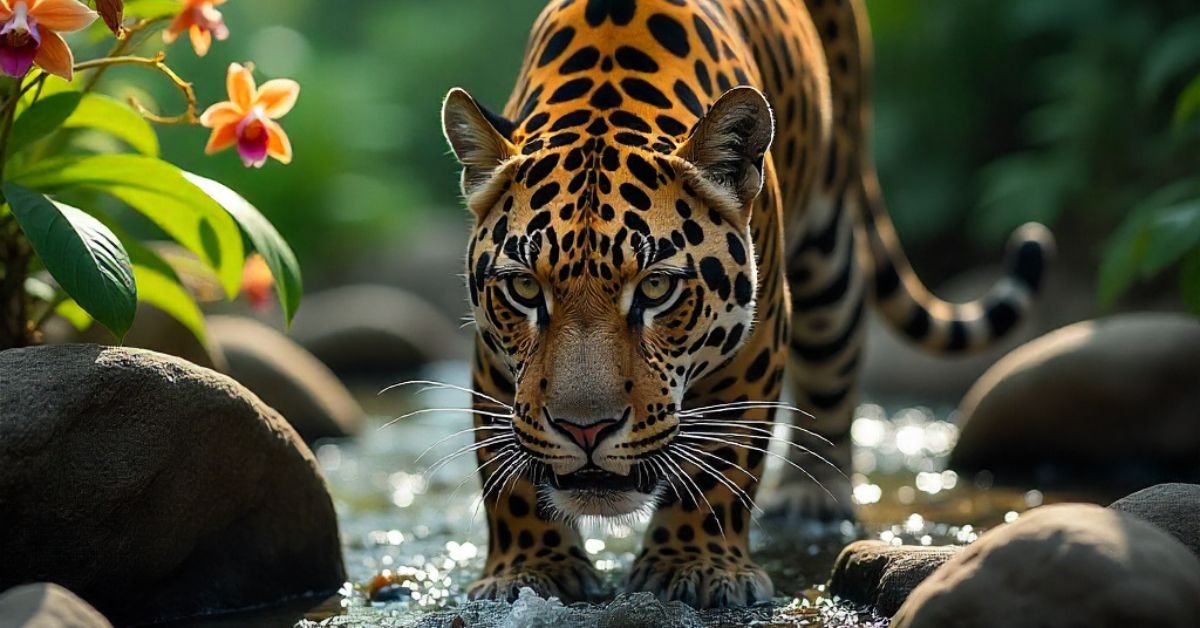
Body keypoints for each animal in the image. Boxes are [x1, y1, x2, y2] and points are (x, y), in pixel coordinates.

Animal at [439, 0, 1052, 609]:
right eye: (524, 290)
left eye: (657, 289)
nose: (586, 431)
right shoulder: (496, 362)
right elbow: (508, 469)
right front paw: (529, 568)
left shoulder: (755, 340)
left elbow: (719, 461)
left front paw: (693, 564)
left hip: (829, 250)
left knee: (835, 358)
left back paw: (812, 497)